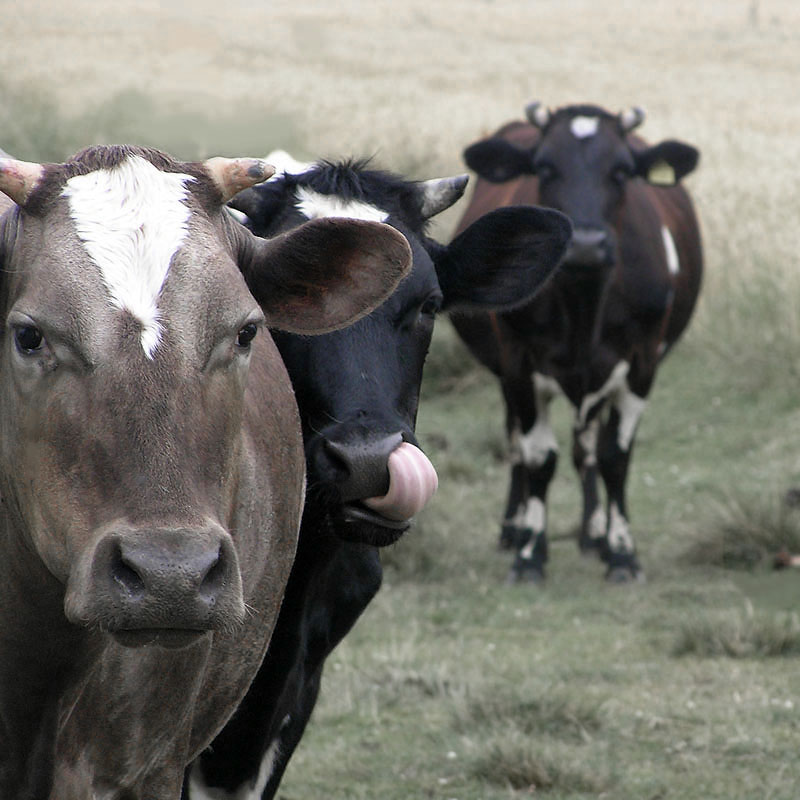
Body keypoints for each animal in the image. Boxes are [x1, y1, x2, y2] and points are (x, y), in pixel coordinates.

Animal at [454, 103, 704, 584]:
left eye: (622, 171)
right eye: (545, 168)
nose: (586, 244)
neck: (584, 305)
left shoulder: (641, 364)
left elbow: (614, 457)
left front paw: (621, 553)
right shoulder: (518, 364)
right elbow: (538, 457)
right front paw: (530, 554)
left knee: (586, 447)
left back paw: (594, 535)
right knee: (517, 443)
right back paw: (515, 528)